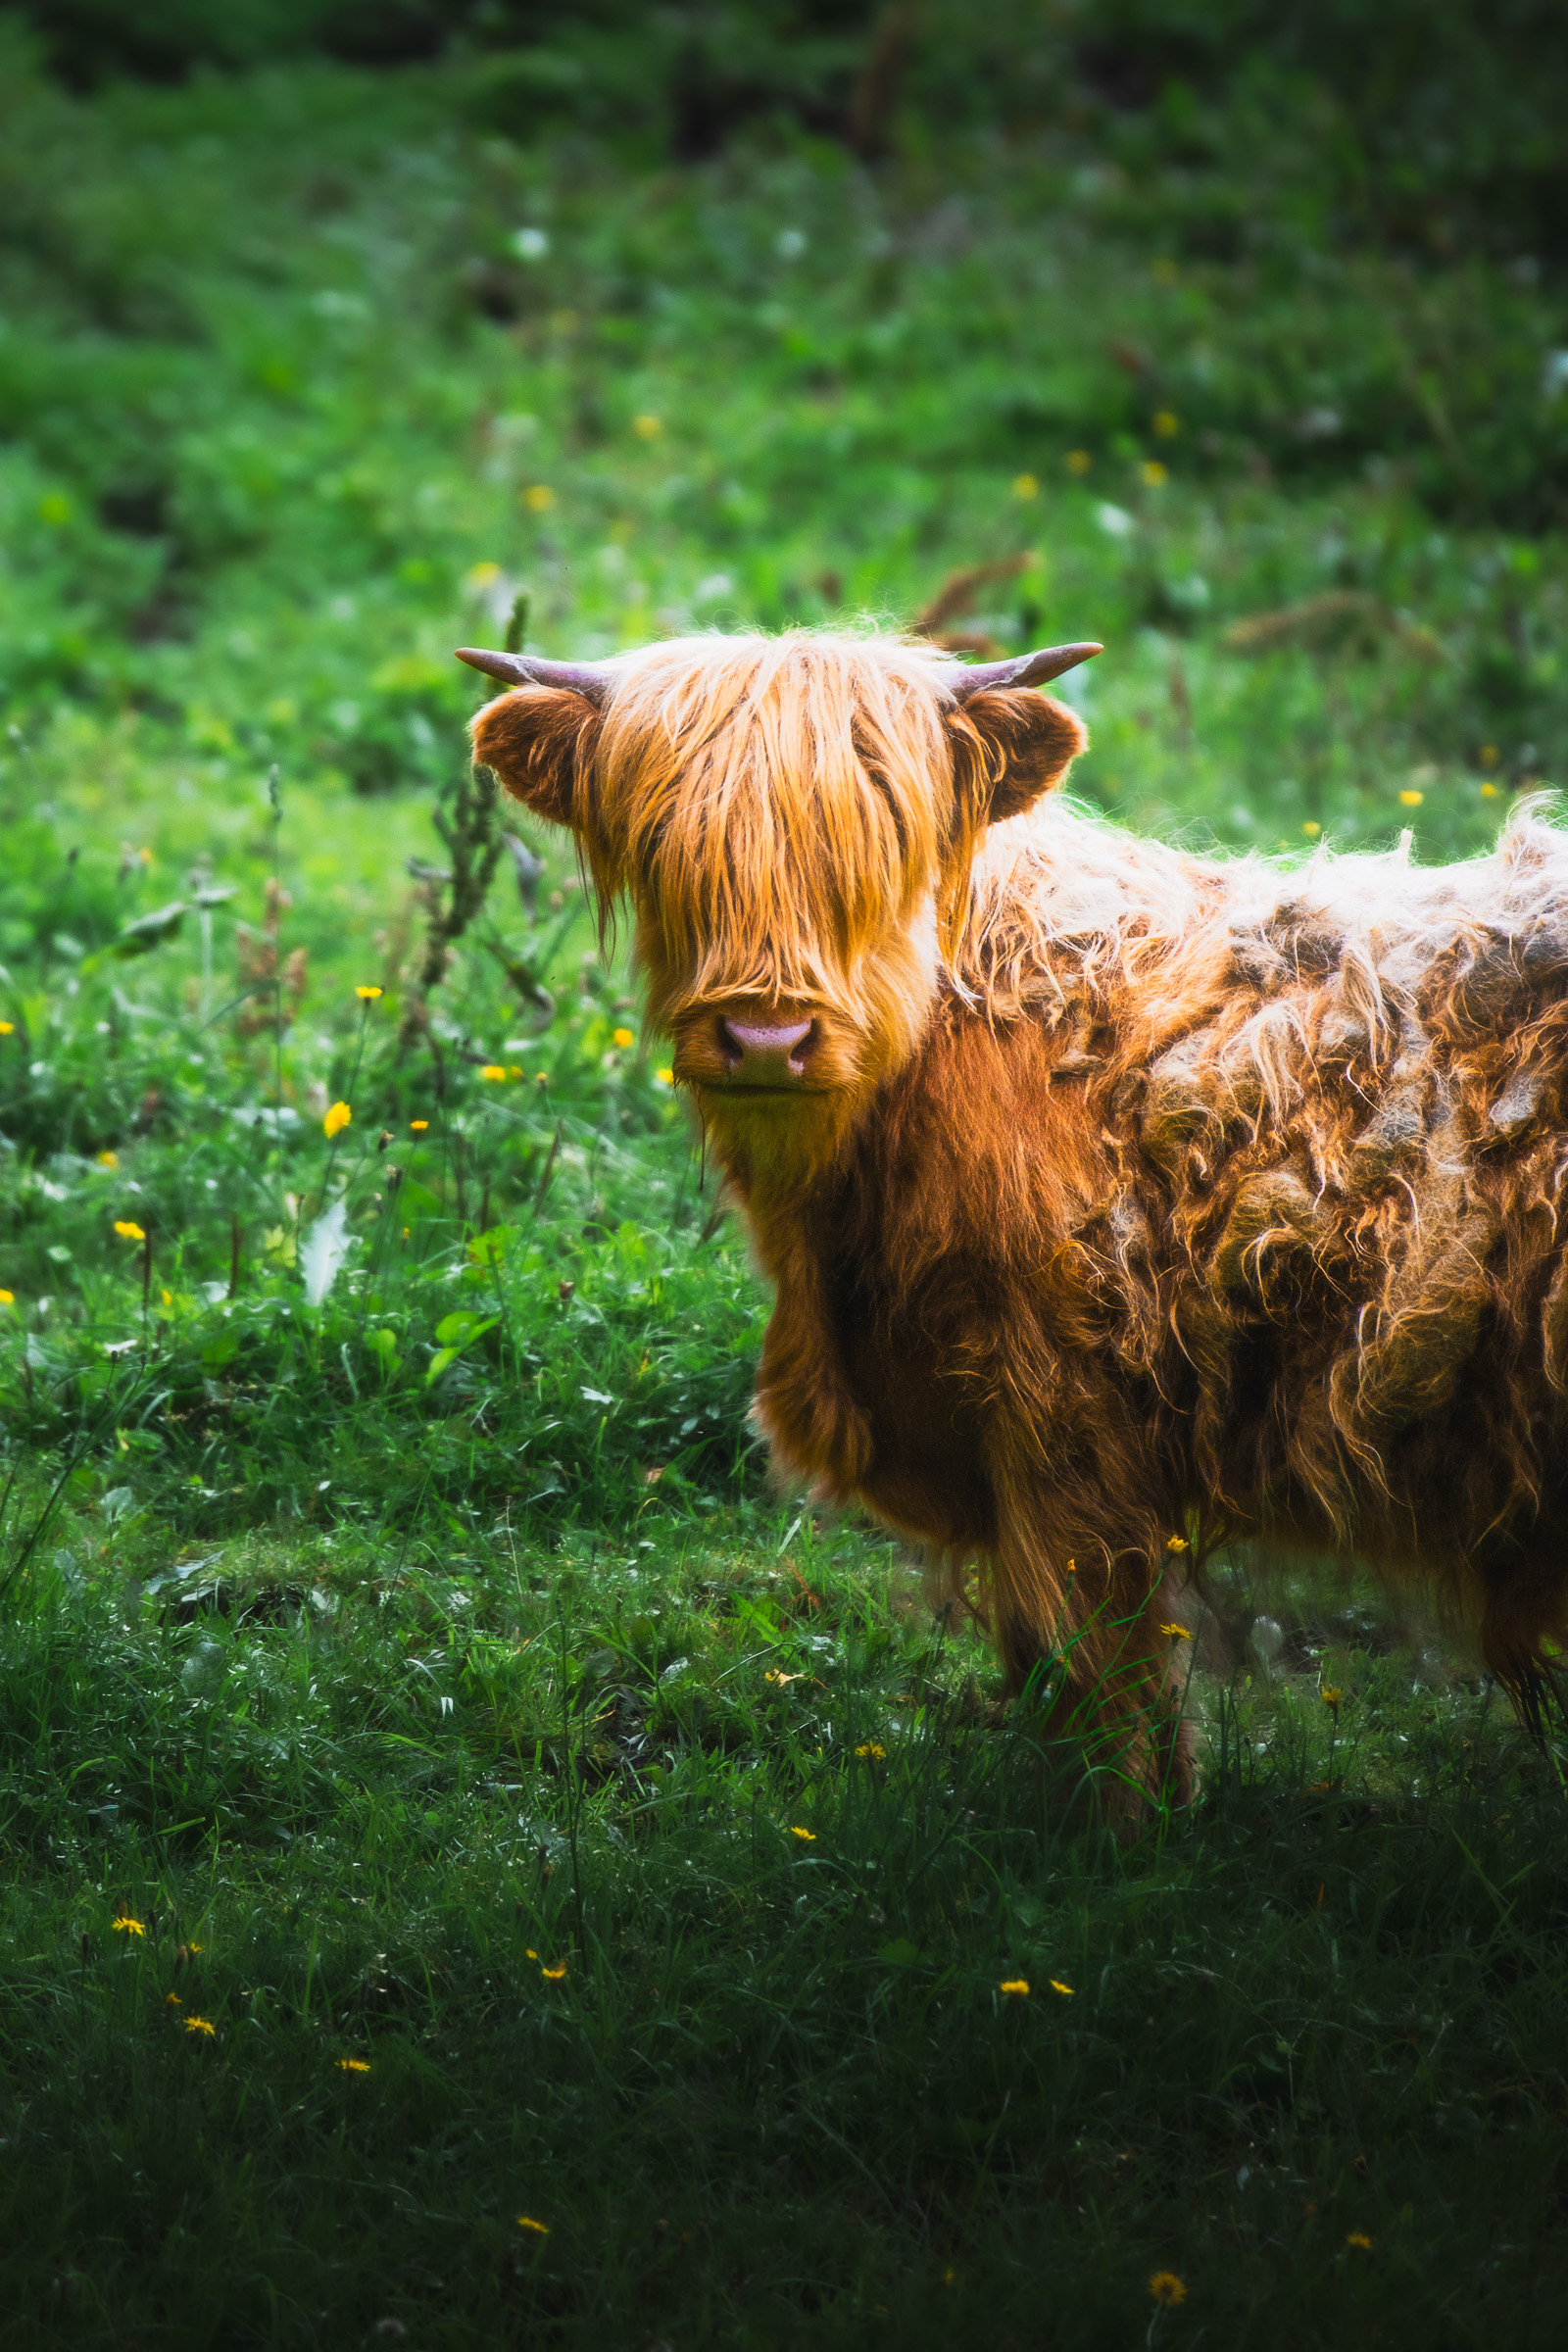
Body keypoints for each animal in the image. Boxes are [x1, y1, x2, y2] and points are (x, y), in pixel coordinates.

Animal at [457, 627, 1568, 1804]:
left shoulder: (1067, 1424)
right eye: (664, 836)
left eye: (885, 841)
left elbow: (1100, 1679)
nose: (766, 1039)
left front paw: (1123, 1830)